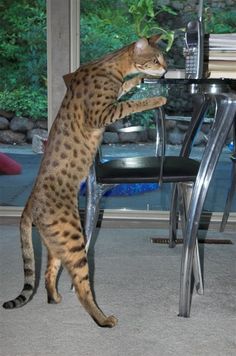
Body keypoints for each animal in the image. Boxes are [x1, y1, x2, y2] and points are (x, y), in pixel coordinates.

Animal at [2, 34, 168, 326]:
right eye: (157, 59)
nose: (167, 69)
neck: (108, 66)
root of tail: (28, 203)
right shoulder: (102, 113)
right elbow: (130, 103)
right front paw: (157, 98)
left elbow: (125, 88)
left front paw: (137, 80)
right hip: (73, 239)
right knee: (81, 287)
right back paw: (103, 319)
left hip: (56, 243)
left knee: (49, 272)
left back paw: (55, 298)